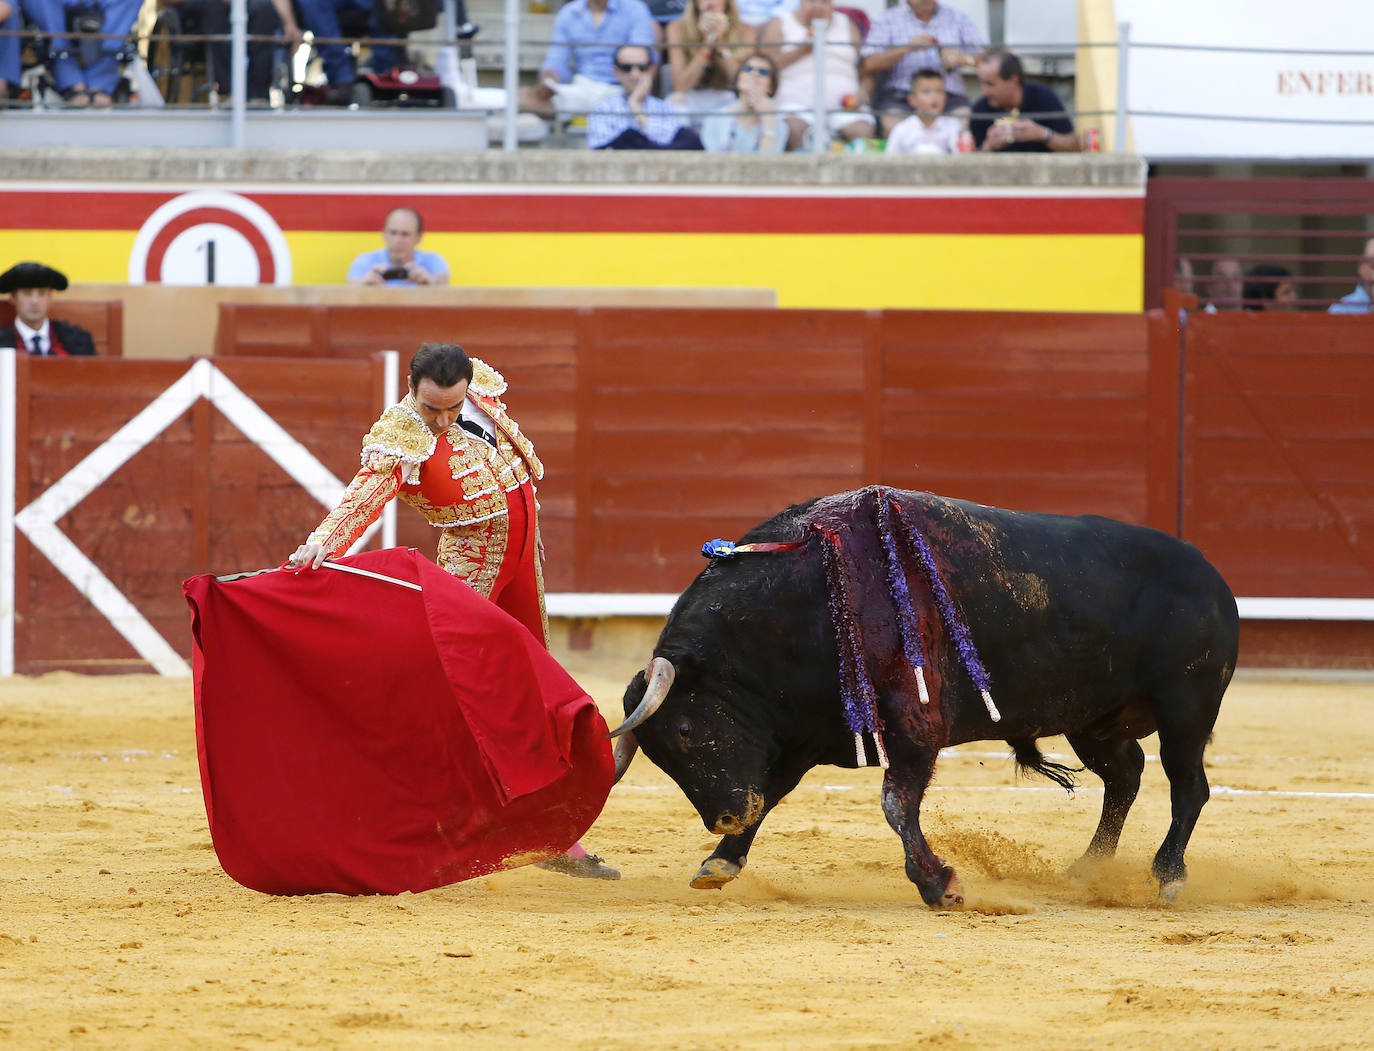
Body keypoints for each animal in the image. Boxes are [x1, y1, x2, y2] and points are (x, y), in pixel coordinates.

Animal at [612, 483, 1236, 901]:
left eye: (686, 729)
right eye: (657, 757)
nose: (723, 818)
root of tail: (1212, 575)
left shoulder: (915, 728)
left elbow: (895, 803)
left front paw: (941, 886)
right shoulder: (803, 732)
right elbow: (774, 792)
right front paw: (720, 862)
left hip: (1187, 708)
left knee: (1189, 787)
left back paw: (1166, 877)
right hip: (1093, 720)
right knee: (1125, 777)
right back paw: (1089, 869)